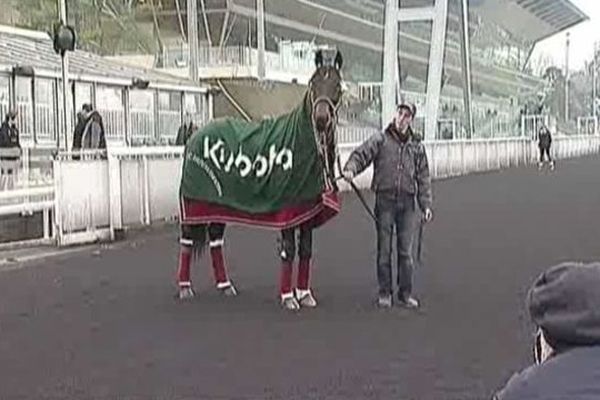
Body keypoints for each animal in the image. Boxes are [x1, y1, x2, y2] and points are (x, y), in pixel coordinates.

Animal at [175, 50, 342, 310]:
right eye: (313, 83)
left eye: (337, 85)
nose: (322, 118)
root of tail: (195, 133)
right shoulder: (288, 211)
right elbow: (289, 250)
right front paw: (288, 297)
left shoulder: (307, 211)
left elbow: (306, 250)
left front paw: (304, 294)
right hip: (193, 205)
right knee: (187, 240)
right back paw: (185, 287)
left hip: (218, 205)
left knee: (215, 239)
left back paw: (225, 286)